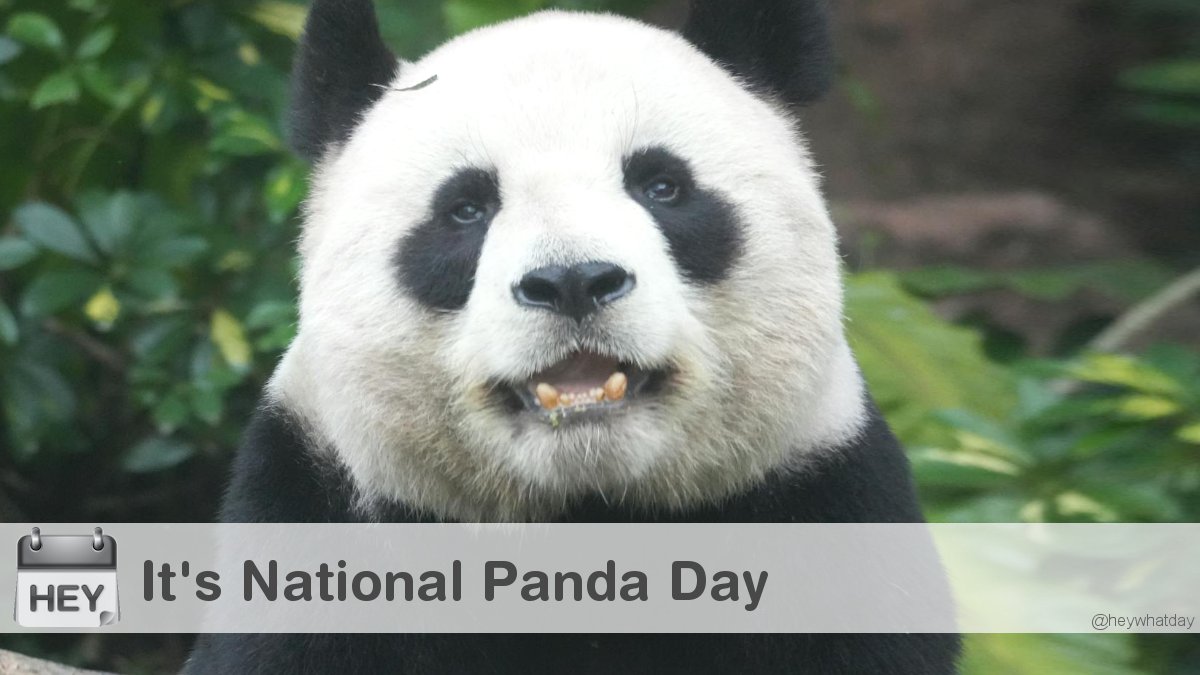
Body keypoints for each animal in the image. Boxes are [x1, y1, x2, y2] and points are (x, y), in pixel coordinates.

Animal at [186, 0, 961, 672]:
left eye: (661, 186)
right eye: (466, 208)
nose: (573, 281)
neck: (585, 512)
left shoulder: (825, 501)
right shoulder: (319, 522)